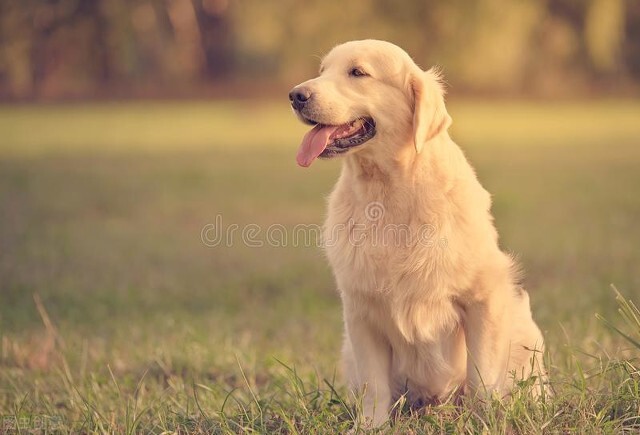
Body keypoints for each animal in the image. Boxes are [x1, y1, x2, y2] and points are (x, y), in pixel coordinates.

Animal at [290, 39, 544, 428]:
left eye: (358, 72)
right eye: (322, 71)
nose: (295, 95)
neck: (388, 193)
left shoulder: (483, 299)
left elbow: (482, 377)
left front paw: (483, 422)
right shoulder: (361, 312)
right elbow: (374, 386)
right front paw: (371, 427)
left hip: (525, 333)